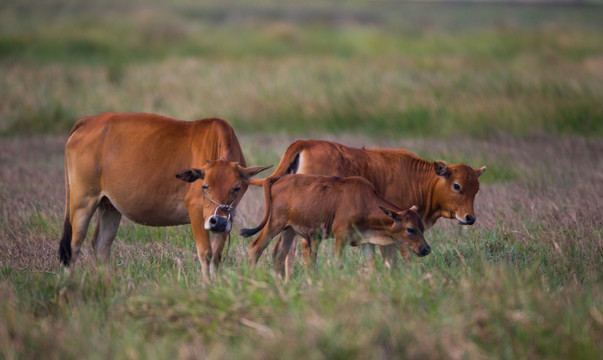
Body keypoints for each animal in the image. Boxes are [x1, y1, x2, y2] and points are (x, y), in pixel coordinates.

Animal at [59, 112, 272, 282]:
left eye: (236, 188)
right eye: (205, 187)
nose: (217, 222)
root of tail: (90, 121)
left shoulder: (228, 216)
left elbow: (217, 256)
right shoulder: (196, 209)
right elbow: (205, 253)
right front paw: (207, 286)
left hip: (109, 206)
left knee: (101, 245)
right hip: (82, 200)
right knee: (72, 247)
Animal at [241, 174, 430, 282]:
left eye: (422, 227)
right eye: (410, 229)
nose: (426, 249)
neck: (364, 202)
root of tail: (278, 179)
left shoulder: (366, 241)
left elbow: (372, 265)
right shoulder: (341, 236)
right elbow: (338, 263)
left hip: (289, 231)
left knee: (279, 257)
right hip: (274, 225)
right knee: (255, 248)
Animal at [249, 139, 486, 268]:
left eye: (476, 189)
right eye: (457, 186)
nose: (470, 218)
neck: (416, 178)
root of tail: (304, 143)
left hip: (288, 225)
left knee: (280, 252)